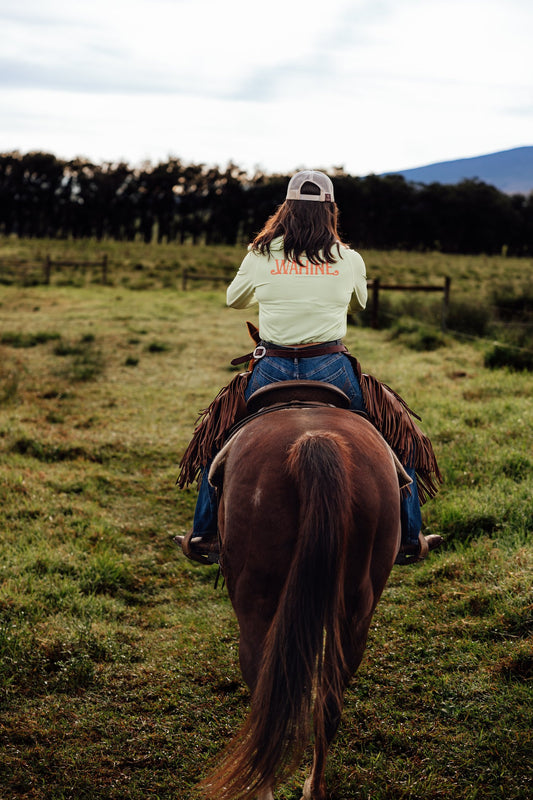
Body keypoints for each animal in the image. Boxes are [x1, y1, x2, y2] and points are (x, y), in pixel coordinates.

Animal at [202, 404, 402, 800]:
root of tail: (315, 442)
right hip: (356, 606)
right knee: (329, 700)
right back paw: (314, 787)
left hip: (256, 600)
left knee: (266, 693)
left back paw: (264, 788)